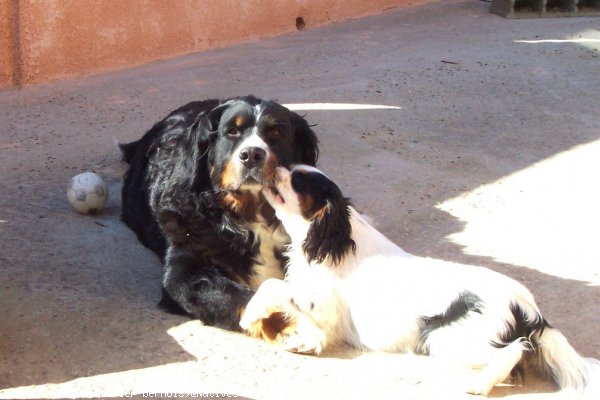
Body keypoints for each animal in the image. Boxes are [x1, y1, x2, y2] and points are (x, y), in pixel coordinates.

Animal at [241, 166, 596, 396]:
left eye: (298, 180)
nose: (270, 163)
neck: (334, 242)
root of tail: (528, 308)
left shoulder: (319, 301)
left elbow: (272, 288)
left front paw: (249, 316)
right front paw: (303, 341)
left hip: (444, 338)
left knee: (514, 350)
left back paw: (478, 385)